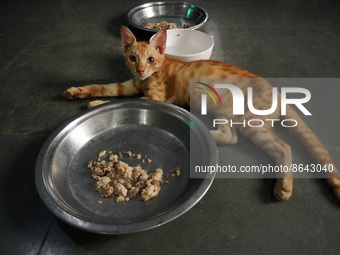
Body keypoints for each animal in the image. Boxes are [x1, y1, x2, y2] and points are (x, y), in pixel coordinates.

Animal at [64, 25, 340, 201]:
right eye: (132, 58)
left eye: (150, 59)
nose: (141, 69)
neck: (150, 75)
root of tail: (279, 94)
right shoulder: (130, 84)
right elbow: (105, 87)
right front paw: (80, 93)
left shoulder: (155, 97)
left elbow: (125, 102)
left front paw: (96, 105)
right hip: (227, 112)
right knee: (231, 135)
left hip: (247, 119)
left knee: (279, 146)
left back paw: (283, 186)